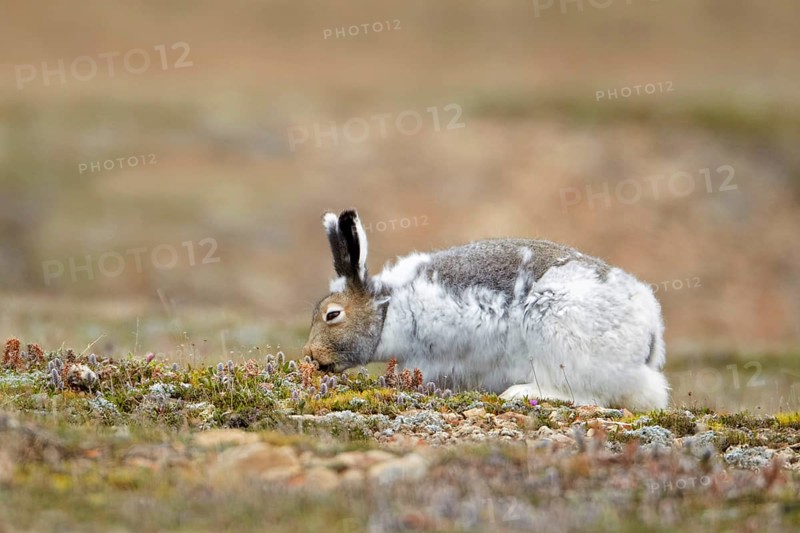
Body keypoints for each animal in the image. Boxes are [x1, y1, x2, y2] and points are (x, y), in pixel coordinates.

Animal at [302, 209, 669, 410]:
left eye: (332, 315)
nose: (310, 355)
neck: (387, 310)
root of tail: (648, 336)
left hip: (557, 334)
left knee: (587, 394)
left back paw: (520, 393)